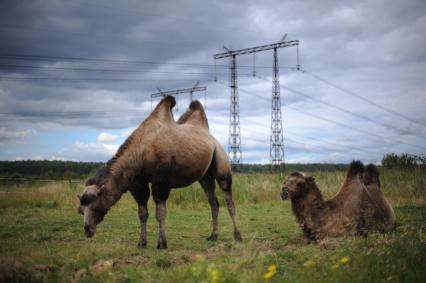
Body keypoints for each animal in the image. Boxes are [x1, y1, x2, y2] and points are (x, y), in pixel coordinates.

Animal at [78, 96, 241, 250]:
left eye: (95, 206)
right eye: (81, 210)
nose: (87, 230)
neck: (141, 151)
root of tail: (212, 139)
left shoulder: (161, 179)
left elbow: (160, 213)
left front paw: (162, 243)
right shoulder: (138, 182)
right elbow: (142, 214)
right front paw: (141, 243)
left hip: (221, 163)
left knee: (229, 200)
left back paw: (237, 236)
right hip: (205, 176)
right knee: (214, 203)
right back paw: (213, 236)